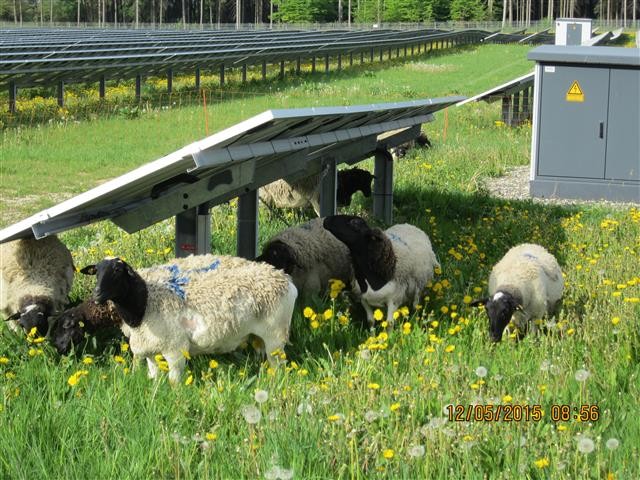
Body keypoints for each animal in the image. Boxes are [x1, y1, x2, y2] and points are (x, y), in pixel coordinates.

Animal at [81, 256, 297, 383]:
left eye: (117, 271)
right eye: (96, 271)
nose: (96, 294)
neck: (144, 305)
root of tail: (286, 280)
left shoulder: (175, 349)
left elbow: (174, 382)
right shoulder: (150, 349)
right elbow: (153, 375)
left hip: (276, 335)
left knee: (278, 365)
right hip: (259, 336)